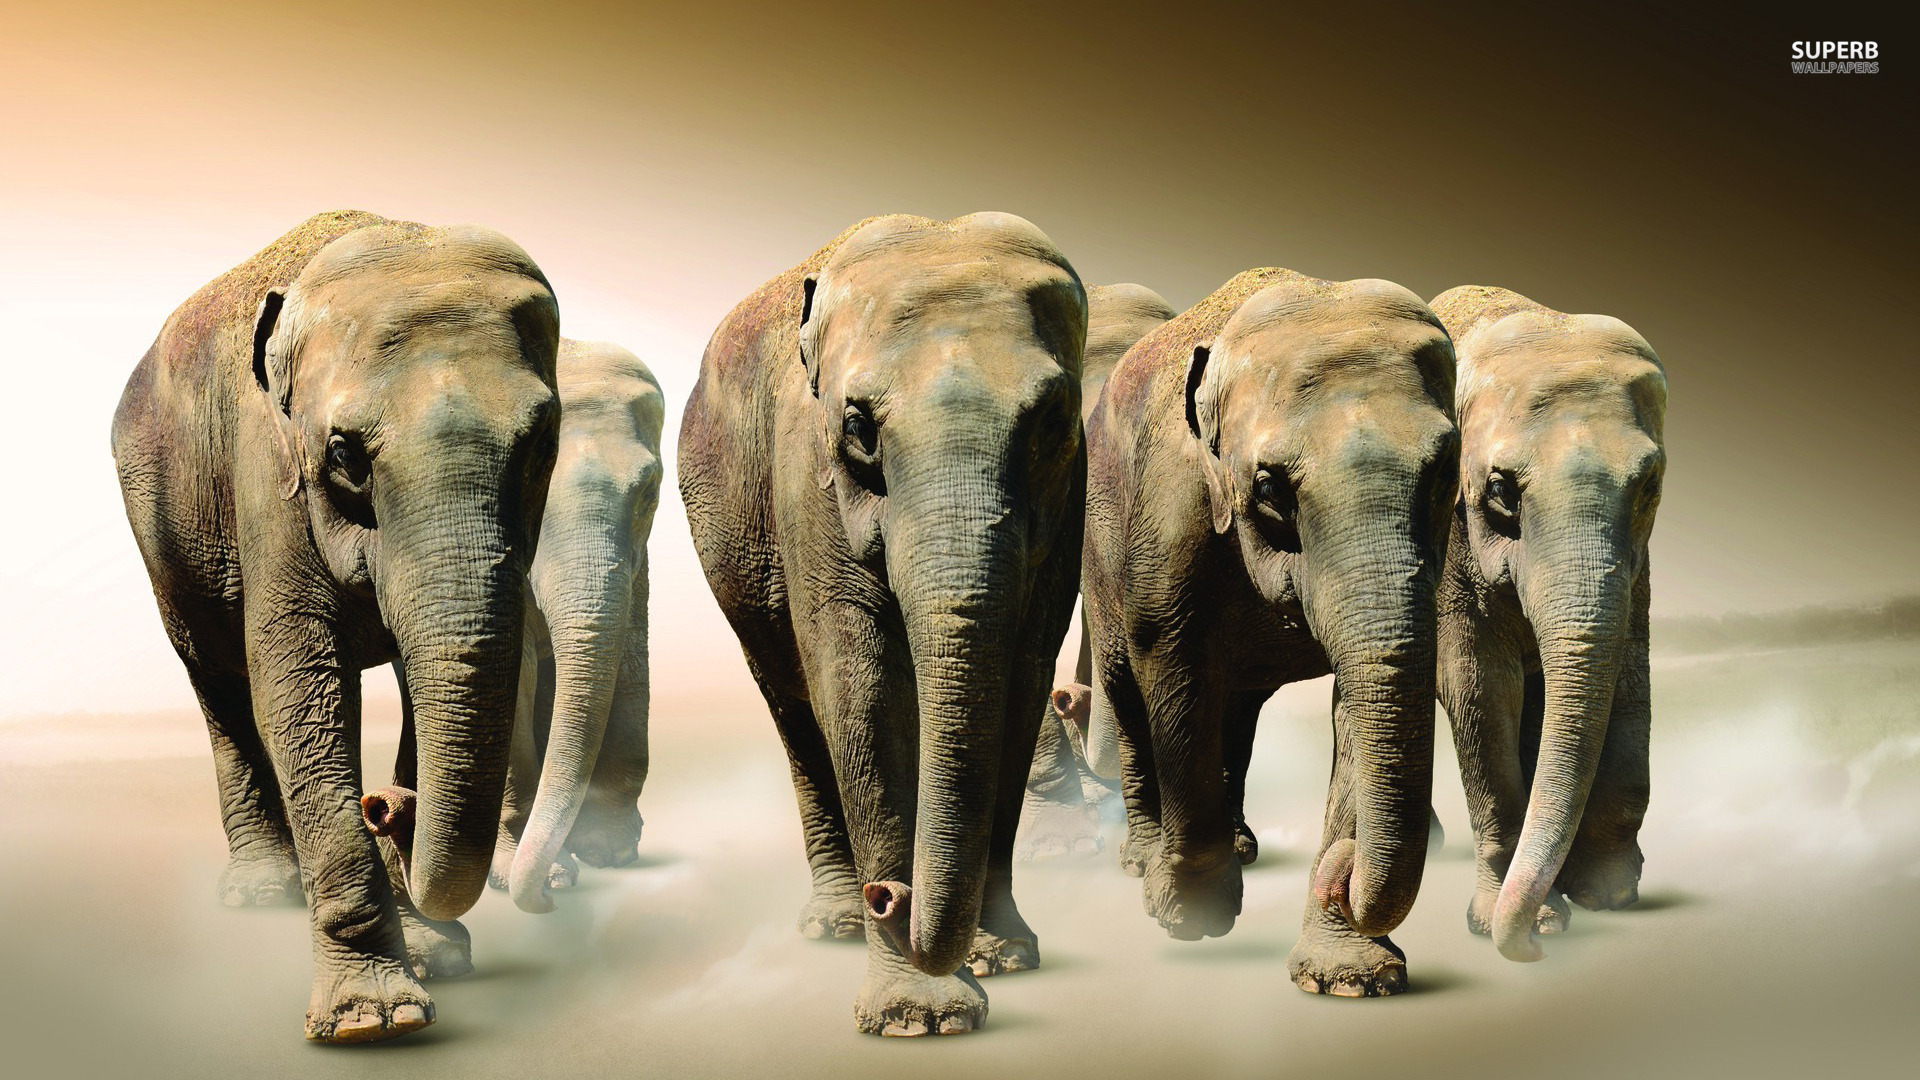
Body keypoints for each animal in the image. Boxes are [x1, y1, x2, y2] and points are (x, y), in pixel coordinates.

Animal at [111, 211, 561, 1042]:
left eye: (542, 442)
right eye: (345, 453)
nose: (384, 804)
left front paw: (436, 958)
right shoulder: (266, 473)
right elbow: (297, 690)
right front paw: (374, 1021)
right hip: (162, 536)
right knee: (219, 683)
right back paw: (262, 892)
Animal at [678, 213, 1087, 1036]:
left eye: (1052, 424)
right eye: (858, 425)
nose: (890, 899)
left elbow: (1023, 682)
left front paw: (1001, 959)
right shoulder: (807, 476)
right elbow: (860, 689)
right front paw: (919, 1018)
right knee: (794, 707)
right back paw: (835, 924)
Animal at [1081, 268, 1459, 997]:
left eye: (1445, 472)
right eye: (1267, 486)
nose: (1343, 870)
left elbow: (1358, 700)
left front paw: (1350, 980)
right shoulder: (1173, 502)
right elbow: (1172, 662)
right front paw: (1190, 916)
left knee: (1238, 708)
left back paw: (1242, 846)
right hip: (1097, 543)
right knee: (1126, 686)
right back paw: (1142, 859)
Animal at [1427, 285, 1668, 963]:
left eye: (1650, 485)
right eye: (1500, 490)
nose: (1533, 950)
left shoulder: (1637, 566)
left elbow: (1629, 676)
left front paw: (1608, 895)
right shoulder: (1451, 542)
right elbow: (1478, 689)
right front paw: (1515, 924)